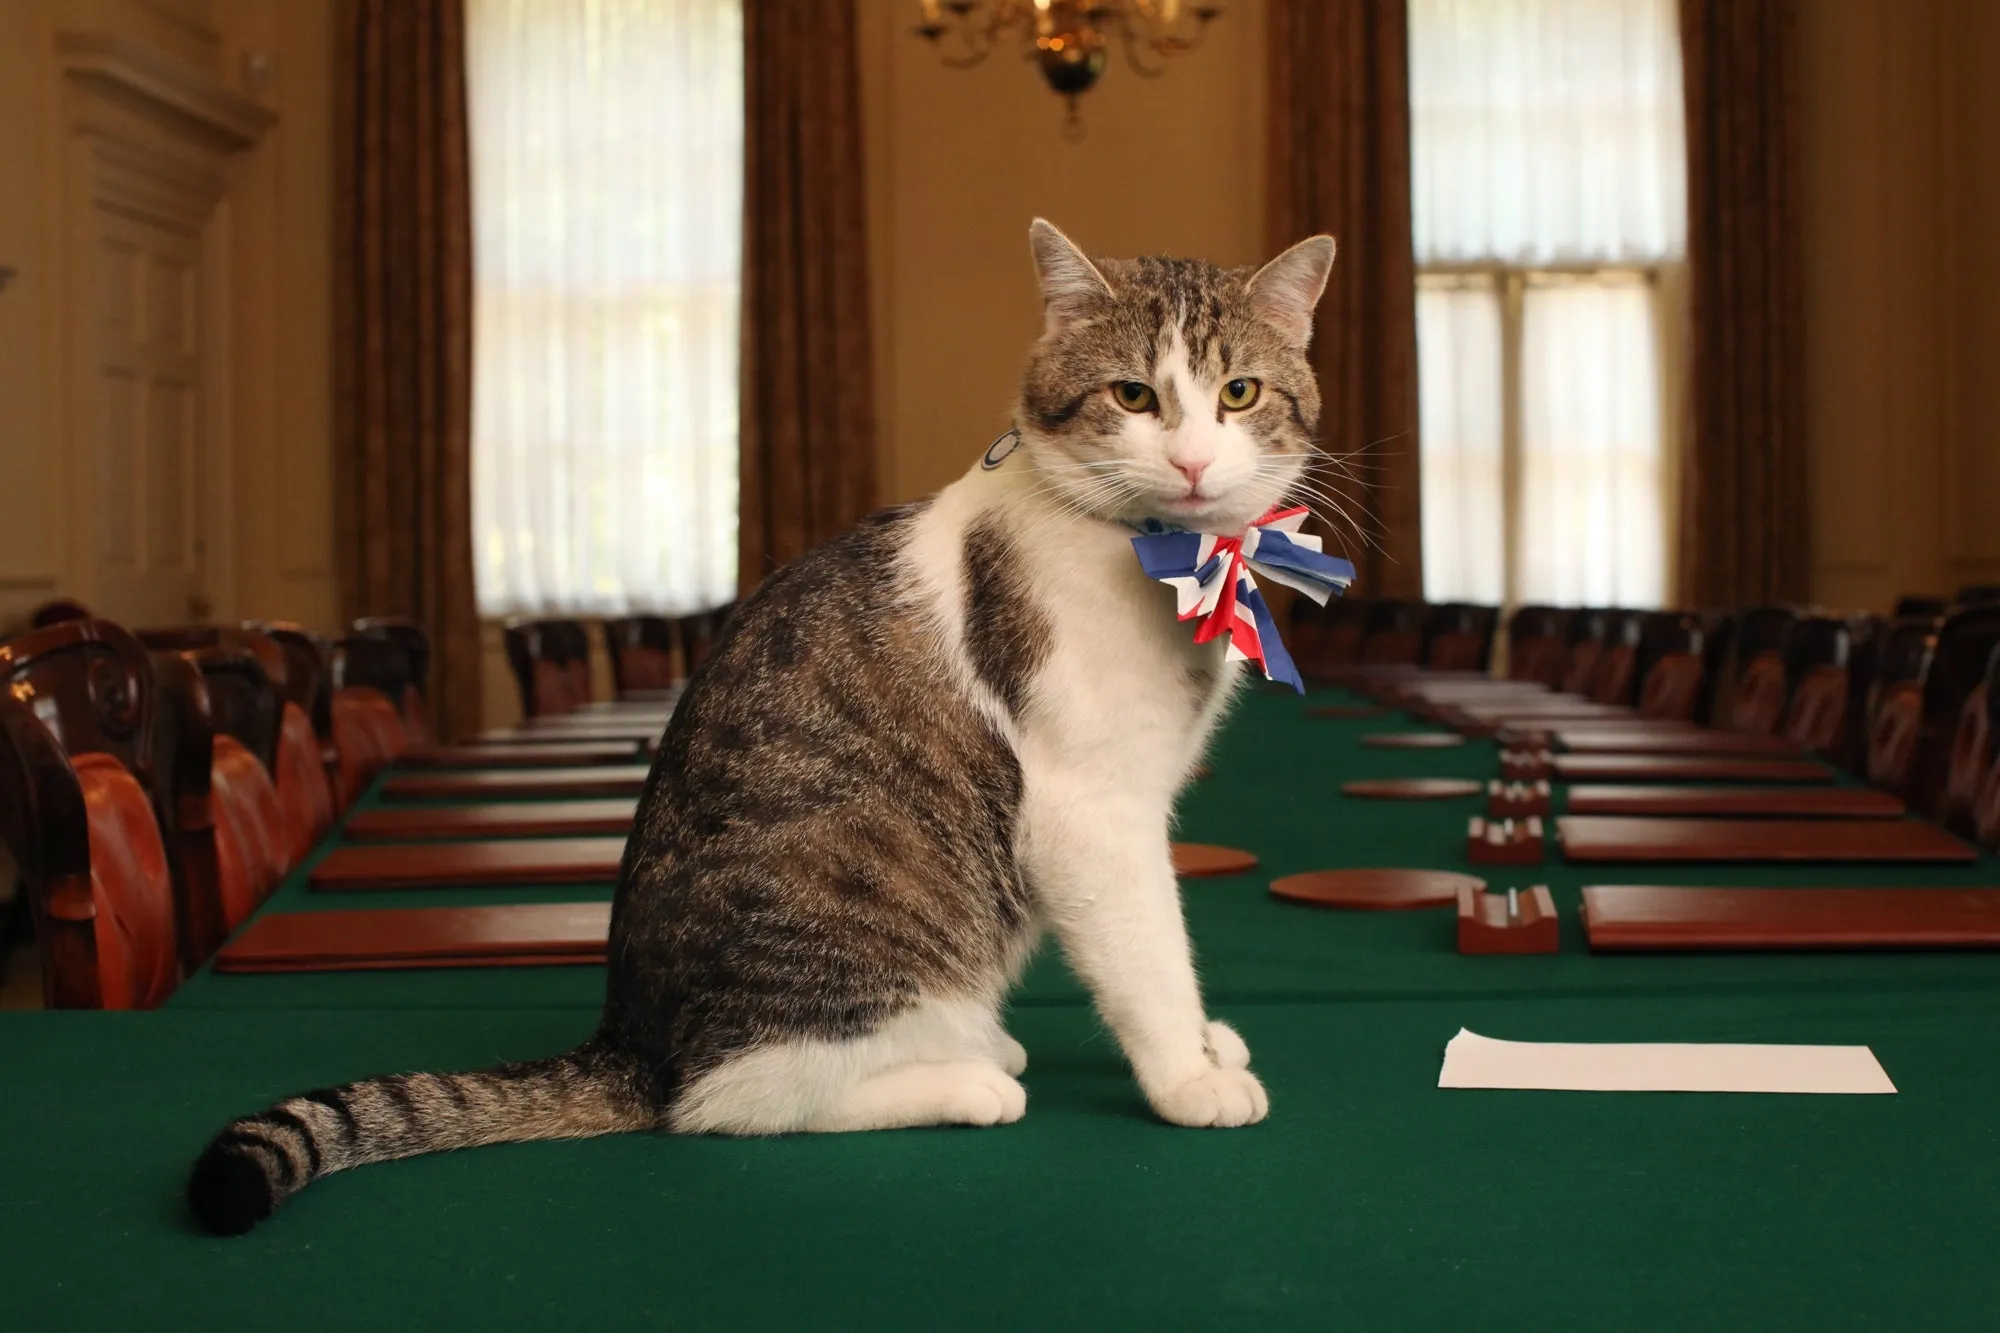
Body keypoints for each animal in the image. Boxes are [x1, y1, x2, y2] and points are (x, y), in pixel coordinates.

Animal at [191, 213, 1344, 1232]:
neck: (1164, 557)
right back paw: (964, 1078)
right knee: (721, 1103)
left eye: (1238, 393)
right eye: (1133, 395)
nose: (1192, 461)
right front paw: (1186, 1077)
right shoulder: (1091, 810)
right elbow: (1150, 951)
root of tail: (630, 1039)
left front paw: (1204, 1049)